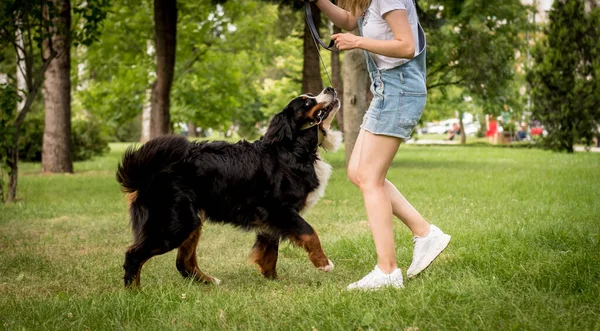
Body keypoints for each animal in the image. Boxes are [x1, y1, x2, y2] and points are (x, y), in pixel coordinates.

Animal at [117, 87, 342, 286]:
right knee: (134, 255)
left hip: (191, 221)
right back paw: (135, 293)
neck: (295, 148)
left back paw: (208, 281)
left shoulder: (271, 218)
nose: (330, 88)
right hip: (175, 224)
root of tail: (148, 173)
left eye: (312, 95)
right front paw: (323, 263)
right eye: (307, 102)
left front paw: (273, 279)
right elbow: (309, 232)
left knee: (184, 263)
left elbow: (270, 249)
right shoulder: (281, 210)